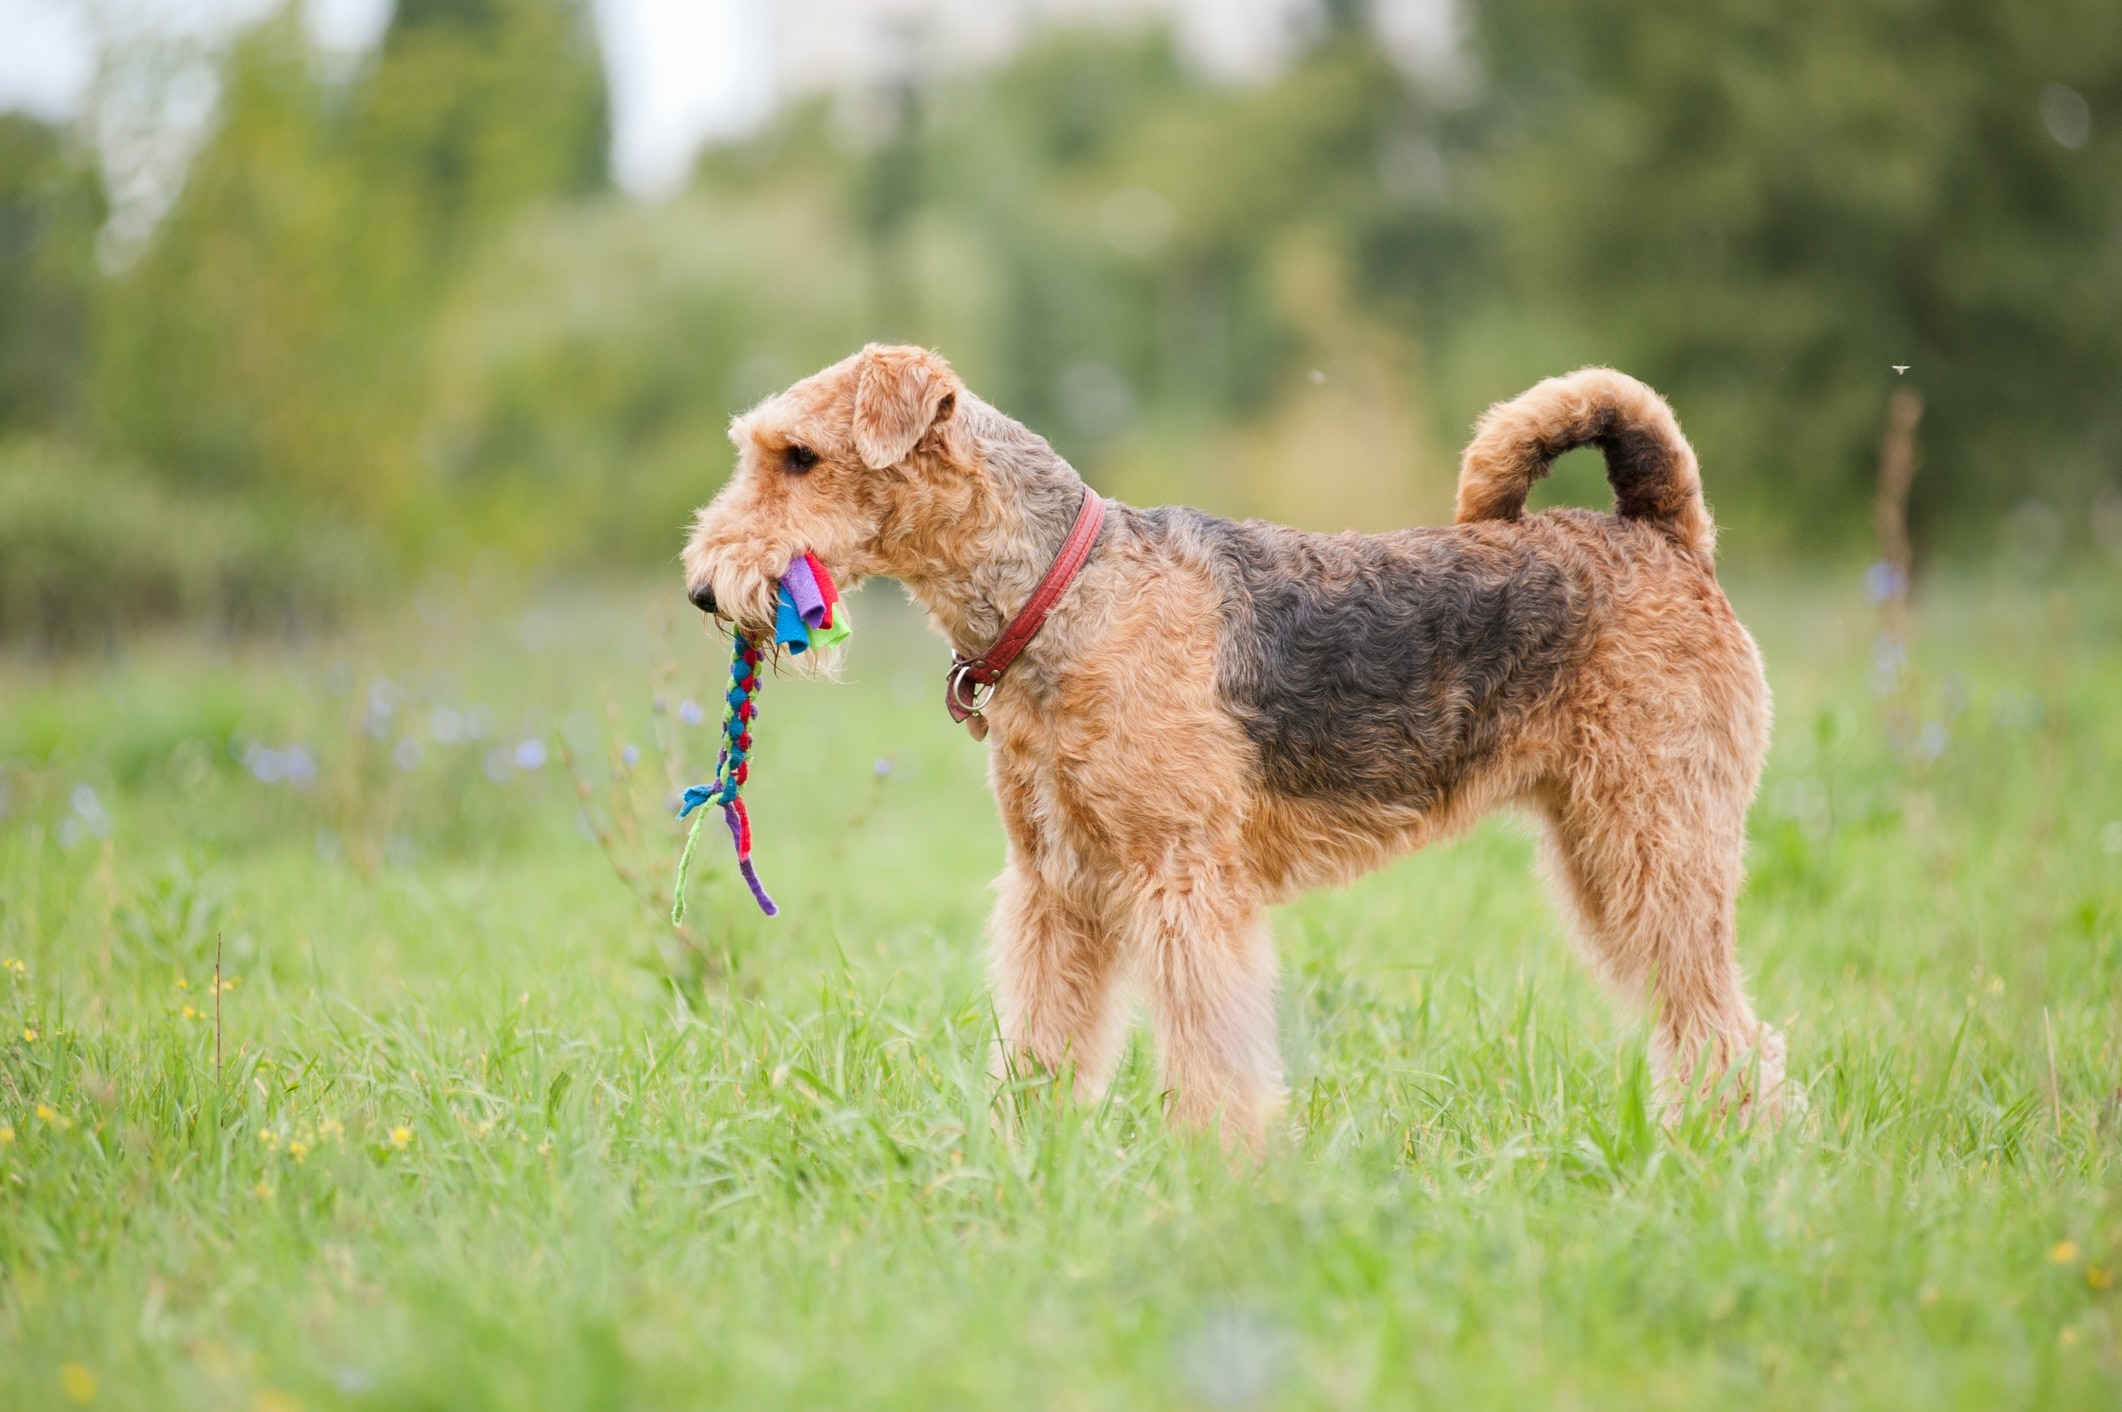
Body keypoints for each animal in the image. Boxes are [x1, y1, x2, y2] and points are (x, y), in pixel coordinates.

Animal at [687, 343, 1782, 1146]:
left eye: (799, 456)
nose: (702, 589)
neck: (1063, 592)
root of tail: (1662, 533)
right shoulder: (1056, 884)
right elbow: (1043, 1031)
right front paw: (1023, 1150)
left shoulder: (1183, 877)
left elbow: (1208, 1045)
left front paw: (1218, 1164)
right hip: (1609, 849)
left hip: (1655, 840)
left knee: (1727, 1024)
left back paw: (1727, 1148)